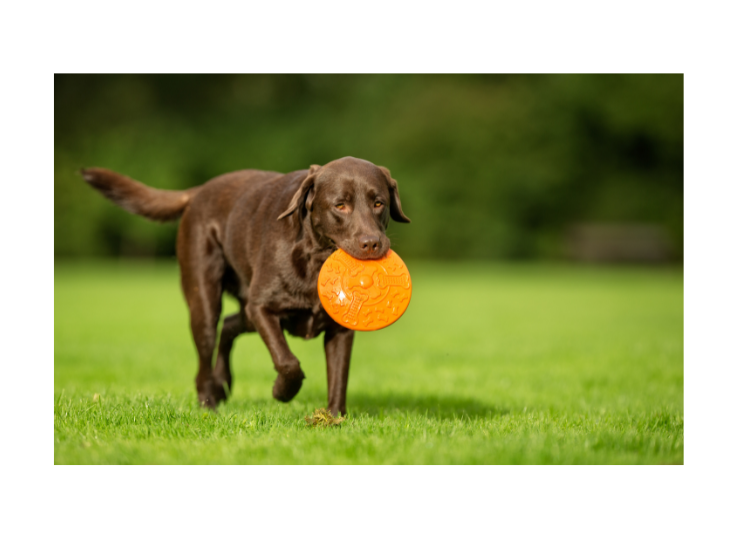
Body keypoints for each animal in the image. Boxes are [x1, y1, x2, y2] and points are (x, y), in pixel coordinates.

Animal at [85, 156, 414, 414]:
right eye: (340, 205)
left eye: (378, 203)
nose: (372, 243)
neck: (315, 258)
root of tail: (199, 191)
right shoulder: (262, 308)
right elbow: (287, 361)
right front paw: (282, 391)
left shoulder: (340, 329)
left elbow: (339, 376)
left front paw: (333, 418)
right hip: (205, 301)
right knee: (207, 350)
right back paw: (209, 402)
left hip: (243, 311)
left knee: (229, 325)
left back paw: (223, 383)